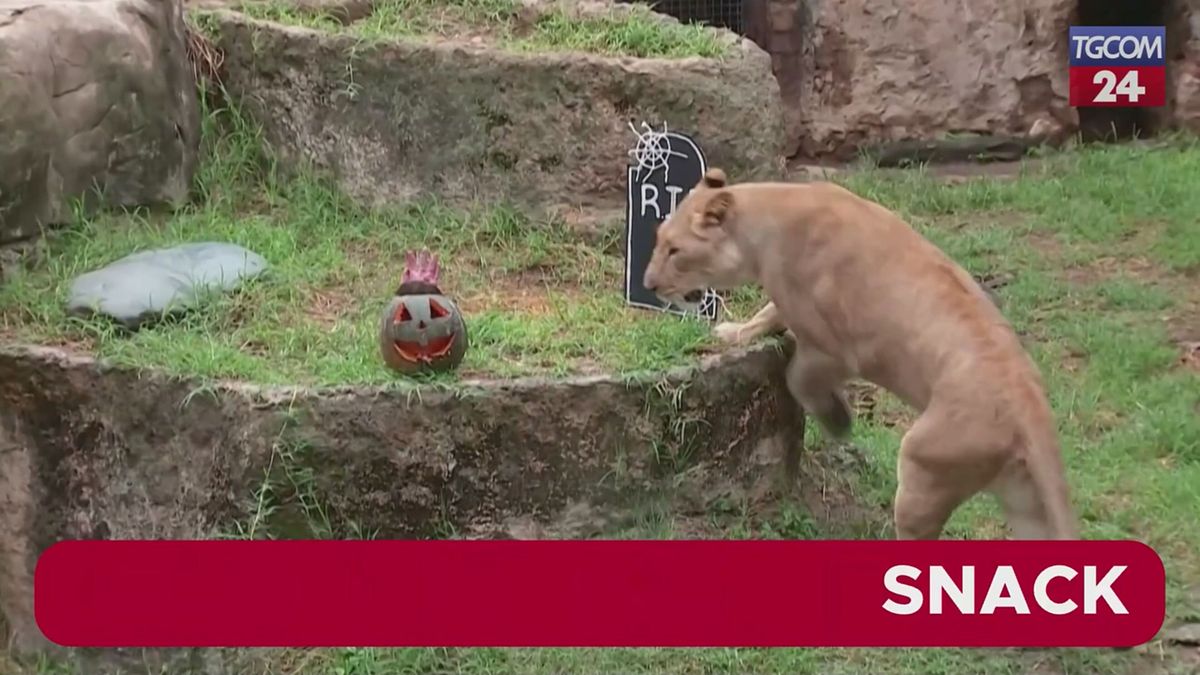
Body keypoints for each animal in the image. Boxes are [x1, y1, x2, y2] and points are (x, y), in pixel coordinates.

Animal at [648, 169, 1080, 540]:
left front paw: (838, 421)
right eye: (658, 239)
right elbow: (768, 314)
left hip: (923, 470)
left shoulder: (835, 348)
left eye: (674, 250)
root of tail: (1030, 409)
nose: (648, 283)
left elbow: (796, 375)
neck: (764, 220)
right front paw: (734, 332)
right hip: (1024, 502)